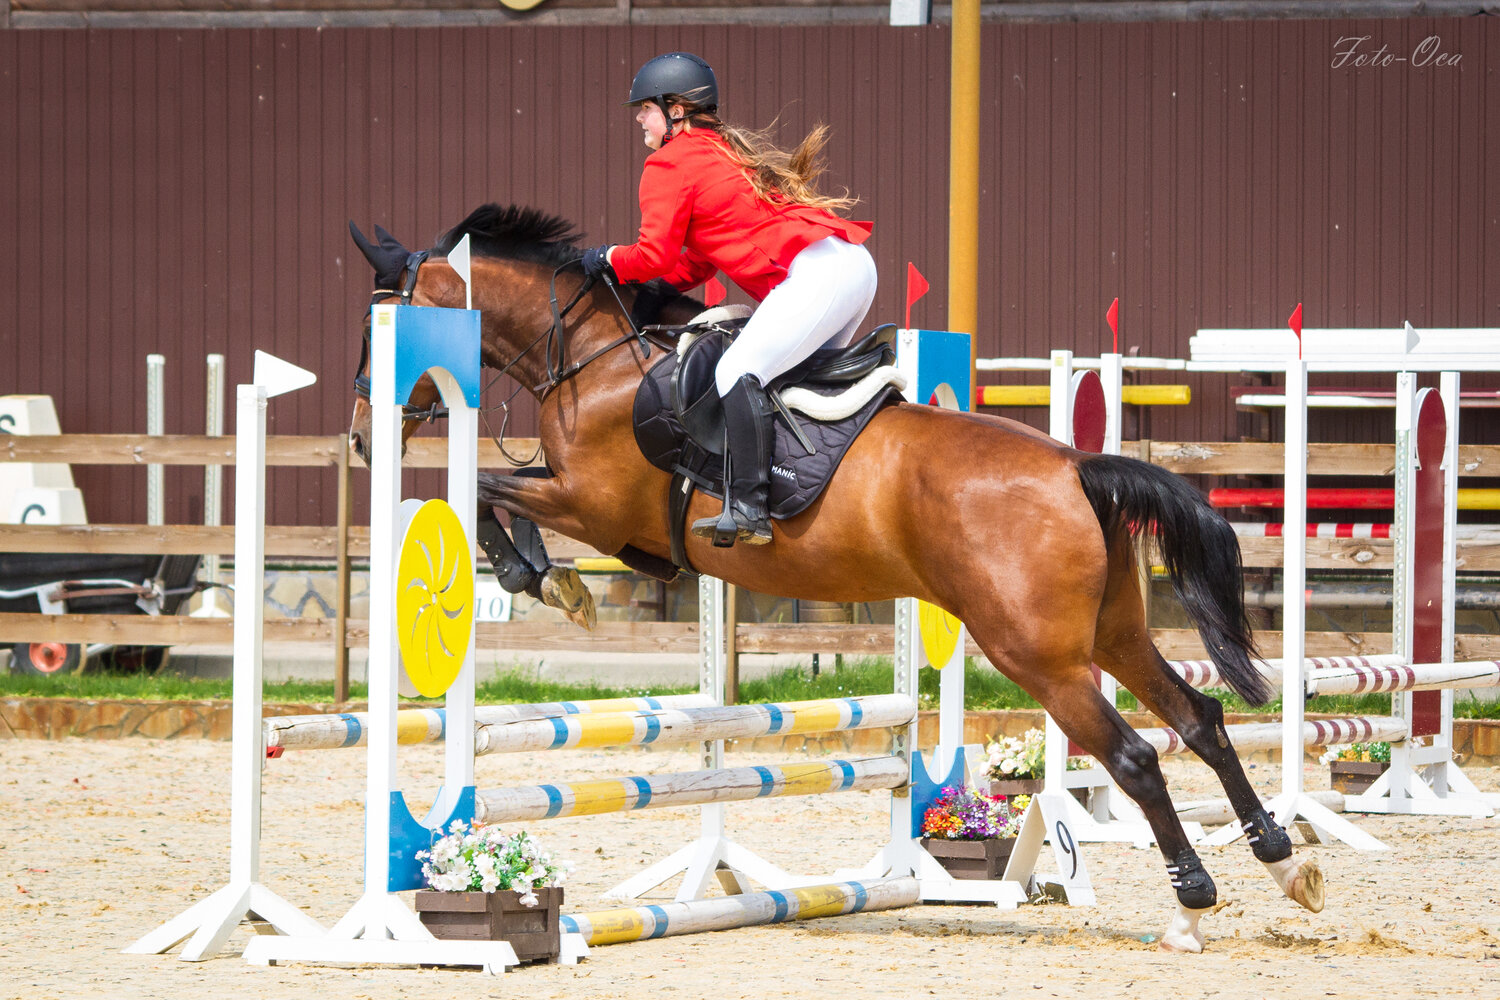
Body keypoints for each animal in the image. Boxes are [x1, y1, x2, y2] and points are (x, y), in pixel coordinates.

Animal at [346, 204, 1324, 953]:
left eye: (370, 329)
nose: (361, 438)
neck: (595, 357)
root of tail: (1076, 467)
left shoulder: (596, 508)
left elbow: (483, 488)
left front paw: (544, 580)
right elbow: (489, 490)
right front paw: (552, 581)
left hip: (1037, 654)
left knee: (1133, 756)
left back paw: (1193, 899)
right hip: (1112, 634)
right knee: (1200, 720)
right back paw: (1284, 861)